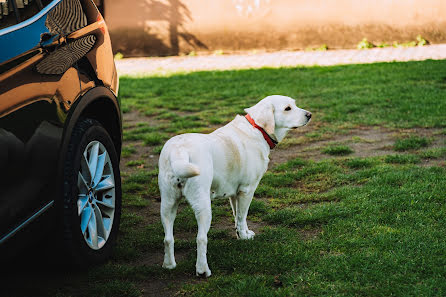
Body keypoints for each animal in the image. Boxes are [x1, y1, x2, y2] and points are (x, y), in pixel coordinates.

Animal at [159, 94, 312, 276]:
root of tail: (179, 150)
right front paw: (245, 237)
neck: (257, 129)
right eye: (287, 108)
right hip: (203, 206)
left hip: (167, 204)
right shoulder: (247, 190)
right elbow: (242, 216)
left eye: (294, 104)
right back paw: (203, 270)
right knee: (201, 238)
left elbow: (237, 215)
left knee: (168, 238)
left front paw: (241, 234)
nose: (310, 115)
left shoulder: (234, 193)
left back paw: (169, 265)